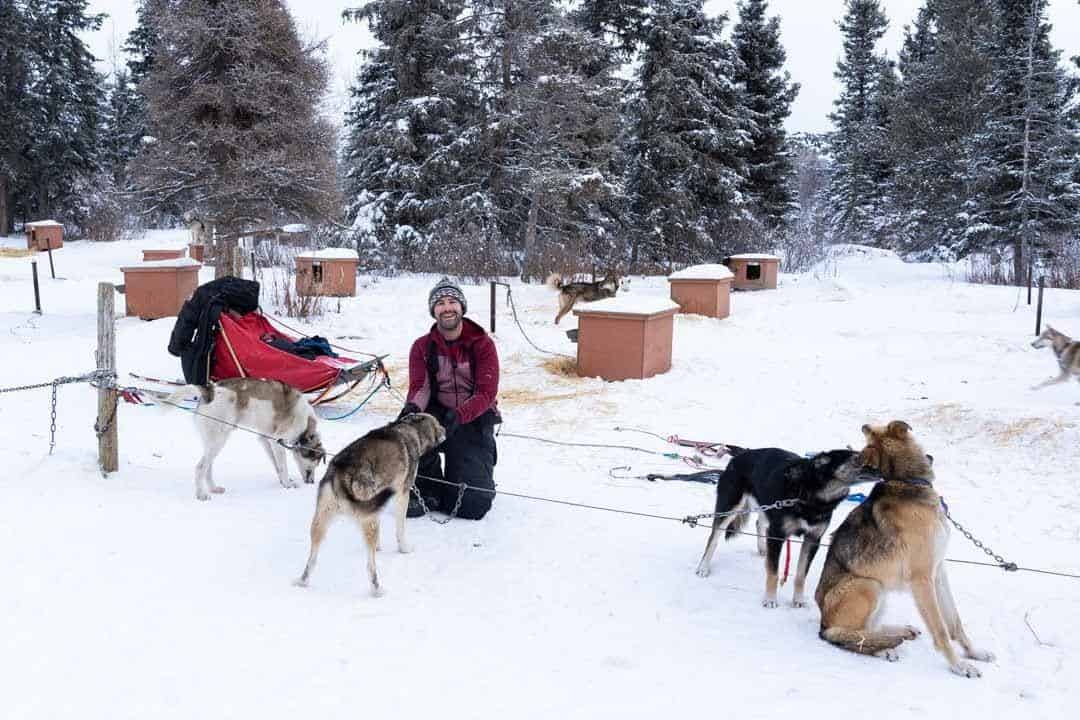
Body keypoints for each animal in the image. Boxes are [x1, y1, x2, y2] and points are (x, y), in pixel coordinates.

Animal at [164, 377, 324, 500]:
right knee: (200, 468)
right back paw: (201, 494)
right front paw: (288, 485)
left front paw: (284, 482)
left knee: (208, 467)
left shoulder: (266, 440)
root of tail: (210, 391)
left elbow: (277, 465)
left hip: (213, 442)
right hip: (219, 440)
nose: (312, 482)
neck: (306, 423)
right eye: (315, 461)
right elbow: (282, 467)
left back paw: (213, 488)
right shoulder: (277, 441)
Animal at [293, 414, 444, 600]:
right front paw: (404, 549)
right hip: (367, 519)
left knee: (312, 559)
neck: (409, 429)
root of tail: (341, 475)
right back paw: (377, 590)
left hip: (321, 521)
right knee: (370, 566)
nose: (445, 429)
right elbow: (400, 529)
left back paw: (303, 580)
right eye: (438, 423)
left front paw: (379, 547)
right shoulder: (403, 494)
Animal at [695, 451, 881, 608]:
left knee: (759, 523)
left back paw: (762, 549)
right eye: (858, 458)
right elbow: (773, 572)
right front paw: (770, 599)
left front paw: (798, 600)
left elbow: (800, 575)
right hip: (729, 509)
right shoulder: (778, 535)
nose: (880, 470)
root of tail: (740, 454)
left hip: (766, 506)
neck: (811, 496)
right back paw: (703, 567)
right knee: (713, 538)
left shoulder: (813, 539)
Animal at [812, 418, 993, 677]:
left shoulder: (939, 572)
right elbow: (941, 630)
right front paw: (958, 665)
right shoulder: (922, 580)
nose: (930, 456)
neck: (905, 481)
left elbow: (955, 622)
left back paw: (900, 632)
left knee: (867, 629)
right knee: (849, 637)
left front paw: (974, 653)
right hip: (869, 585)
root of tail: (823, 623)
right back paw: (885, 648)